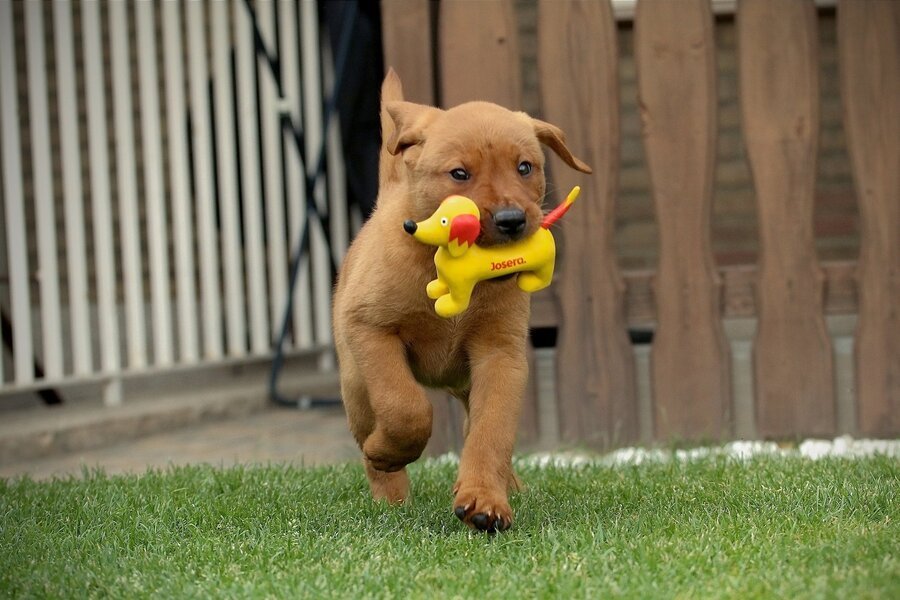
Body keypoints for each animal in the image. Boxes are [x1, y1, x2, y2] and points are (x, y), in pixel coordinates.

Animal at [330, 70, 592, 536]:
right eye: (459, 173)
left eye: (525, 167)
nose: (511, 220)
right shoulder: (371, 329)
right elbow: (405, 407)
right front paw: (387, 452)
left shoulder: (500, 357)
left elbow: (490, 434)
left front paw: (485, 500)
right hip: (355, 383)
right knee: (374, 428)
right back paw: (388, 492)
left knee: (479, 428)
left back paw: (508, 484)